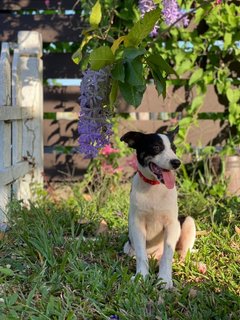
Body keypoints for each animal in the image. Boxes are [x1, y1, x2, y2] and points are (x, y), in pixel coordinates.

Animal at [121, 126, 196, 288]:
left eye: (174, 148)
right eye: (156, 147)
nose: (176, 162)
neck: (154, 186)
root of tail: (154, 255)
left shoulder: (172, 225)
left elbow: (167, 254)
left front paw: (164, 279)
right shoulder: (137, 225)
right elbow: (141, 255)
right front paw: (141, 276)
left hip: (188, 221)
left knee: (182, 253)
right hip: (128, 247)